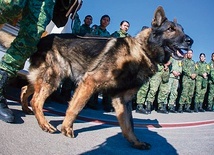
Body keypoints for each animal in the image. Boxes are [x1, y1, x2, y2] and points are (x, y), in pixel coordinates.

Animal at [18, 6, 193, 150]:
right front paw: (67, 128)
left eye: (182, 30)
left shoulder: (122, 100)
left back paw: (26, 109)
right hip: (54, 78)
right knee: (37, 100)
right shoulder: (89, 83)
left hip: (46, 79)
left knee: (25, 88)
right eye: (170, 29)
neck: (142, 51)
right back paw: (44, 124)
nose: (190, 41)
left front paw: (135, 142)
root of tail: (42, 39)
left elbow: (129, 125)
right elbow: (75, 108)